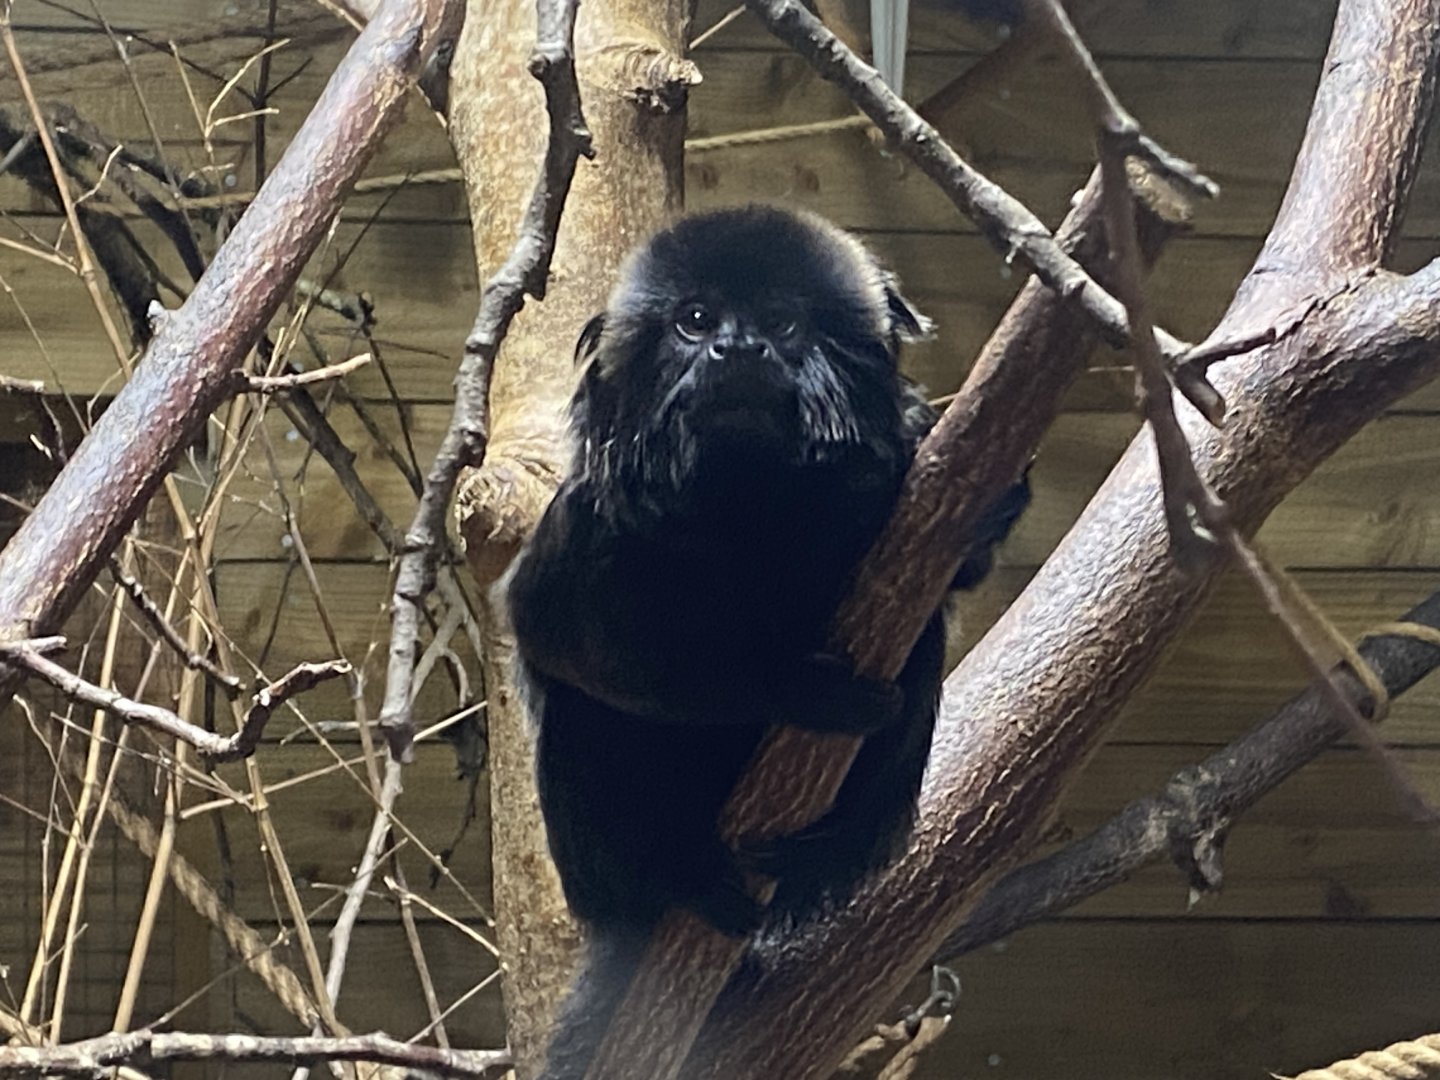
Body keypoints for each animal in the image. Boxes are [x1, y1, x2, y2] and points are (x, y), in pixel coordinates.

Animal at [505, 205, 1029, 1079]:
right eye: (695, 321)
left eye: (783, 324)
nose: (739, 348)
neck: (752, 502)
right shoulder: (588, 534)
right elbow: (567, 644)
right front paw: (798, 690)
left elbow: (955, 567)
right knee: (583, 718)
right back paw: (675, 878)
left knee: (918, 662)